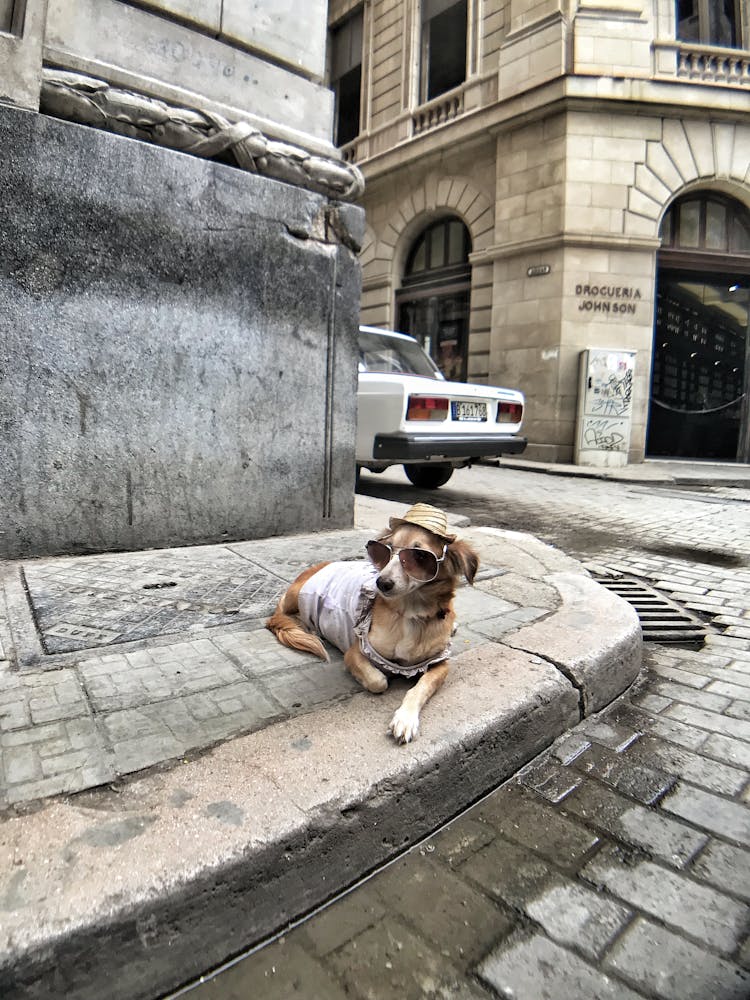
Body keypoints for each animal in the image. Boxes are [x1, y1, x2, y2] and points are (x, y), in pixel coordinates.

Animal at [268, 504, 478, 740]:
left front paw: (405, 719)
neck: (410, 615)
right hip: (297, 596)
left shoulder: (440, 663)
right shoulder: (354, 652)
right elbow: (378, 681)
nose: (381, 583)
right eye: (387, 549)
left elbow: (421, 687)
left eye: (419, 556)